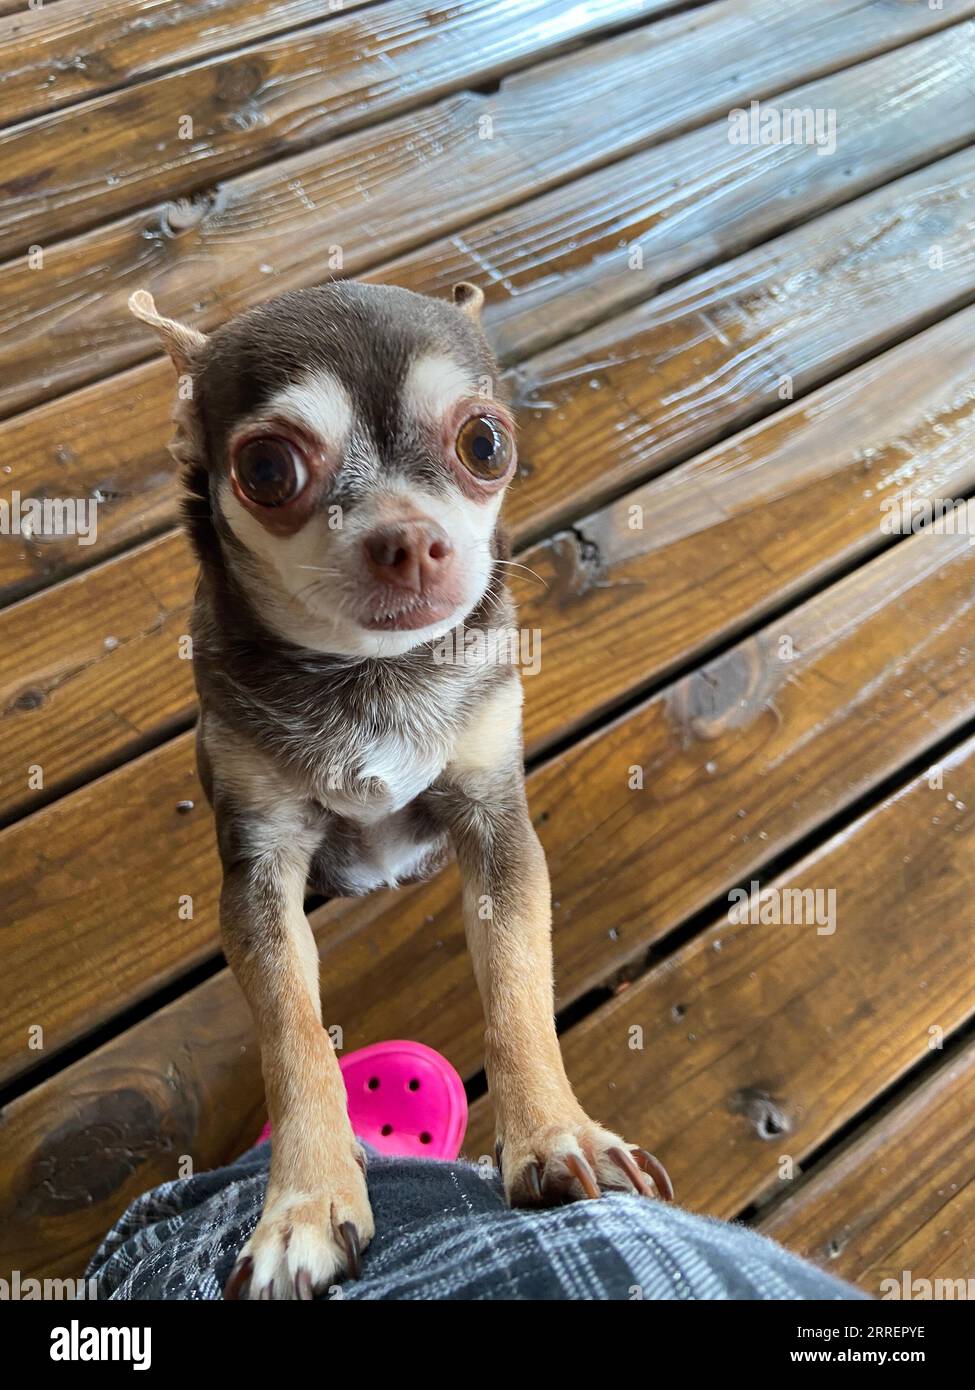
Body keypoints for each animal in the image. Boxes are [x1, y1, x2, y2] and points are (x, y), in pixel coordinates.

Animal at [129, 279, 670, 1301]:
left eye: (486, 444)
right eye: (266, 468)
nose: (409, 539)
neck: (369, 676)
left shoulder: (495, 827)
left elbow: (516, 983)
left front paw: (554, 1133)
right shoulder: (257, 869)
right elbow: (292, 1032)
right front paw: (303, 1202)